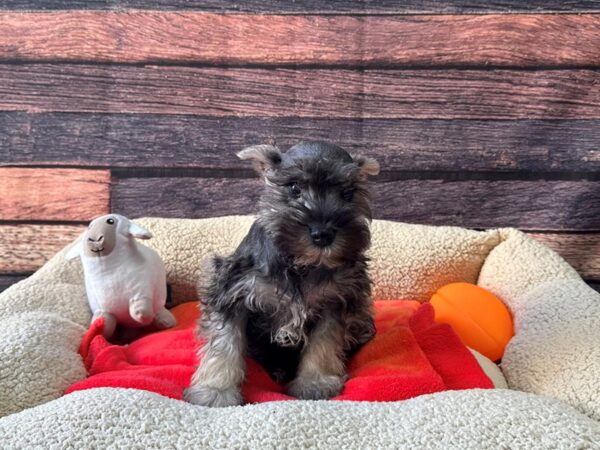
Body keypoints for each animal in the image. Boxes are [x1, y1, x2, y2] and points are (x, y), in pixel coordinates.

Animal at [184, 142, 380, 408]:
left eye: (347, 194)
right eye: (294, 188)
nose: (323, 234)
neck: (301, 265)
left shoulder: (336, 300)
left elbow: (324, 341)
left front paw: (315, 382)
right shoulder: (232, 292)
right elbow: (225, 342)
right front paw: (215, 390)